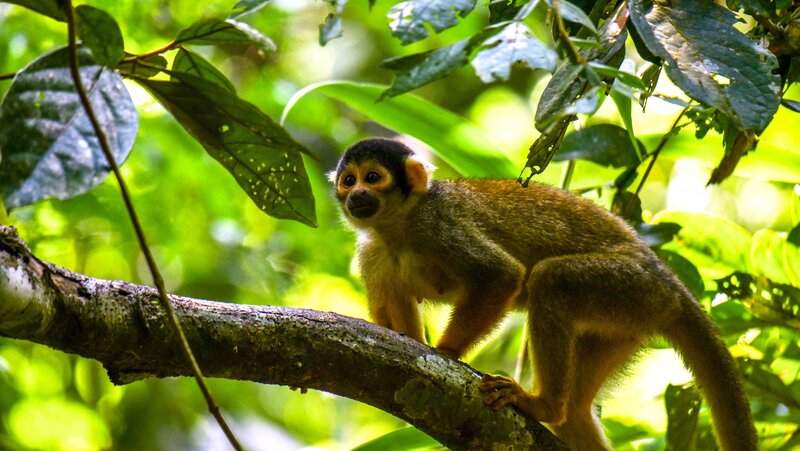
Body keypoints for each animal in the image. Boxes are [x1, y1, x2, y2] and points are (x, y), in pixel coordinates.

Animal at [330, 138, 757, 451]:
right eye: (349, 181)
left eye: (373, 176)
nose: (356, 195)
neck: (397, 226)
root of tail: (669, 280)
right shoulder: (370, 254)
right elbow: (397, 329)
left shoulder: (438, 224)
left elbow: (502, 276)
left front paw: (447, 352)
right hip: (629, 320)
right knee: (577, 409)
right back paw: (567, 413)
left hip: (632, 286)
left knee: (551, 280)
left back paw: (544, 405)